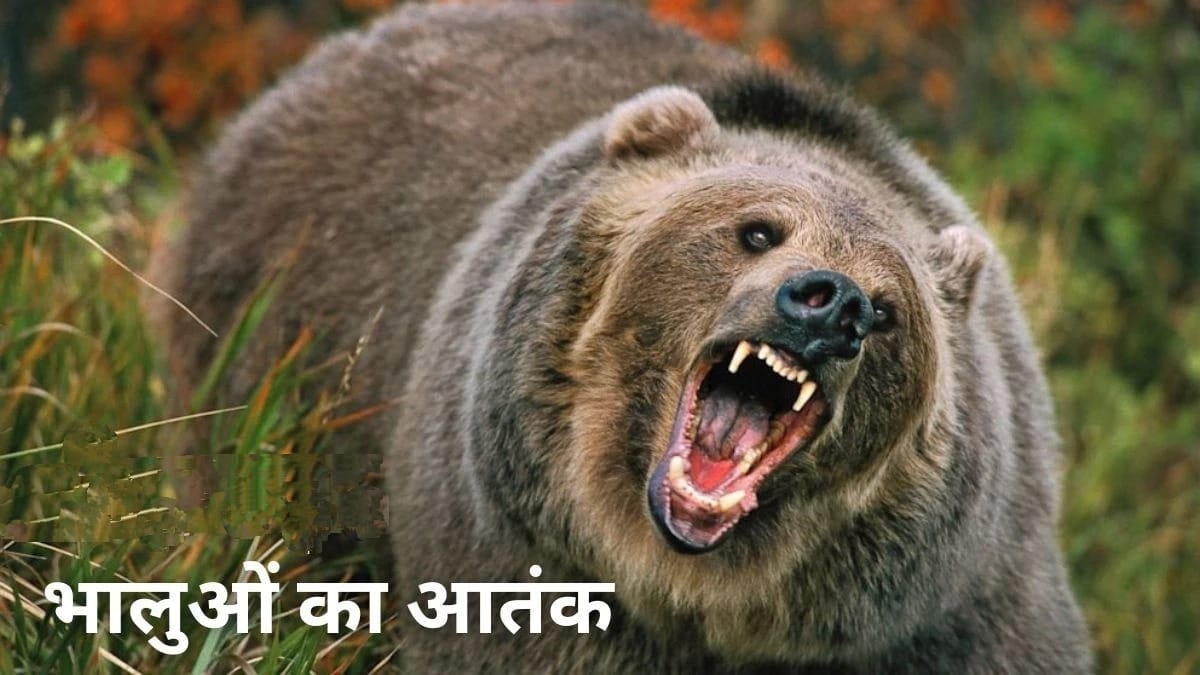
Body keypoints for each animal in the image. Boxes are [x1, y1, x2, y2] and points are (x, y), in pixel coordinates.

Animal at [161, 2, 1092, 673]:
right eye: (758, 229)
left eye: (892, 309)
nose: (834, 305)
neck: (700, 593)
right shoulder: (519, 561)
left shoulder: (950, 607)